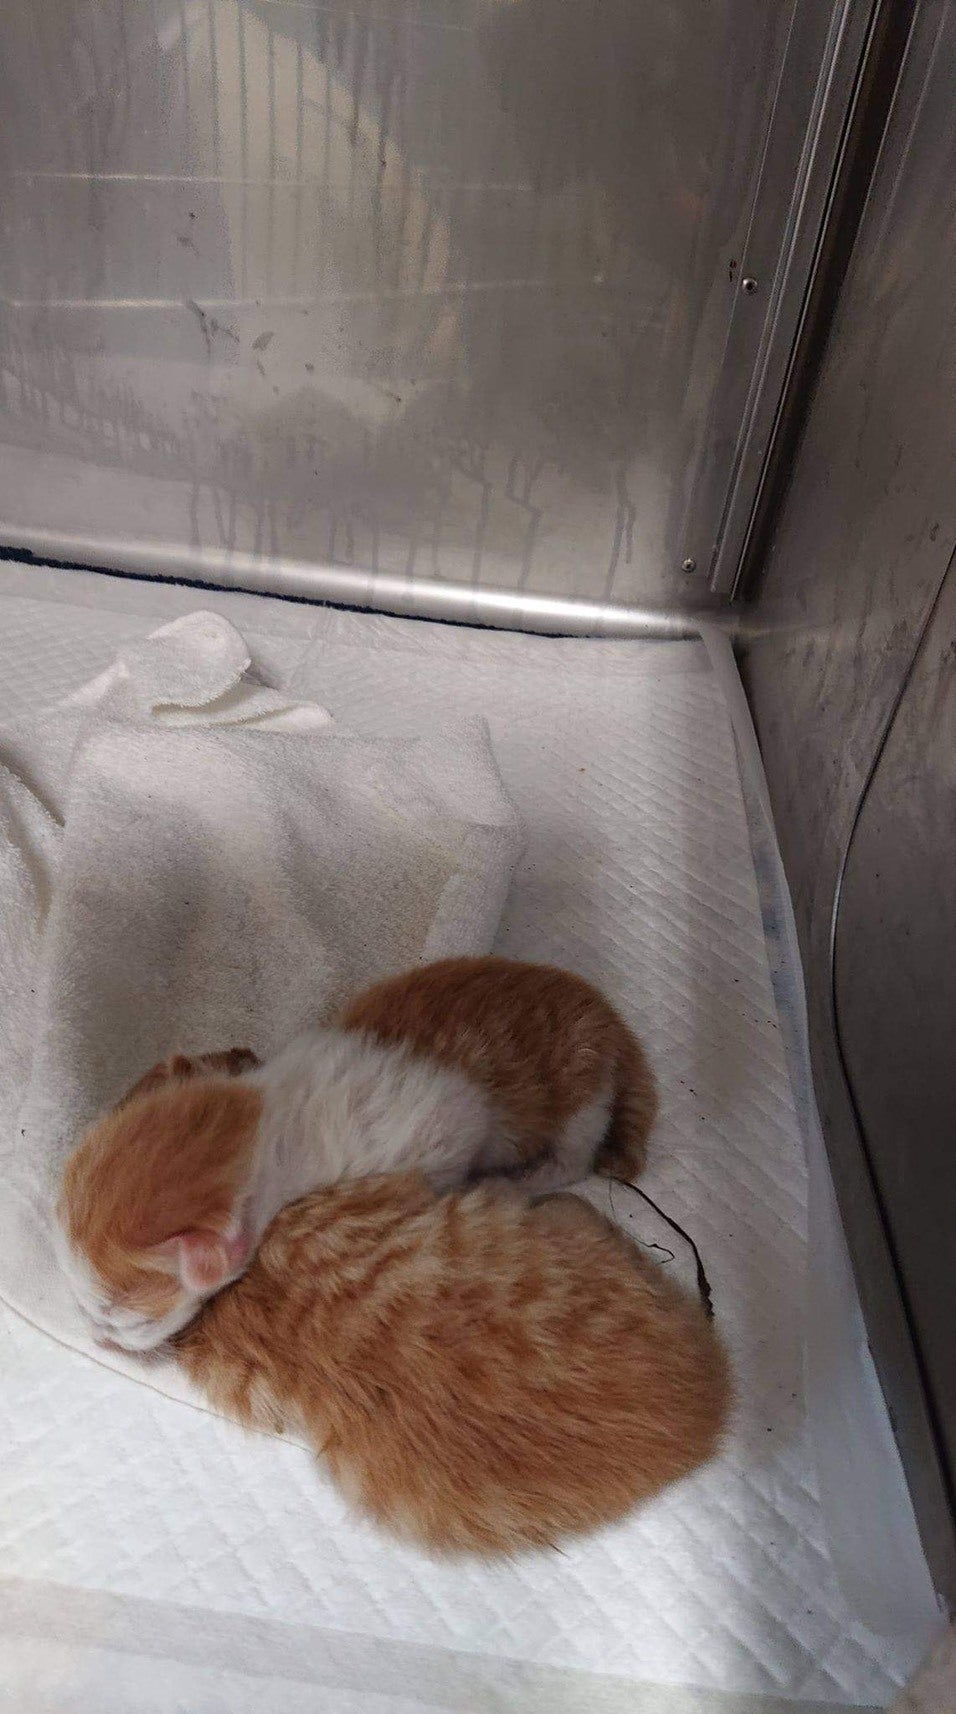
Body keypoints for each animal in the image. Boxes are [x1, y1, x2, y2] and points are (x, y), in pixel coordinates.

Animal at [58, 958, 656, 1353]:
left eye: (116, 1317)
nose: (96, 1338)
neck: (271, 1114)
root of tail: (610, 1019)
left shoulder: (447, 1129)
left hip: (583, 1092)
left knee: (575, 1156)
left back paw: (525, 1179)